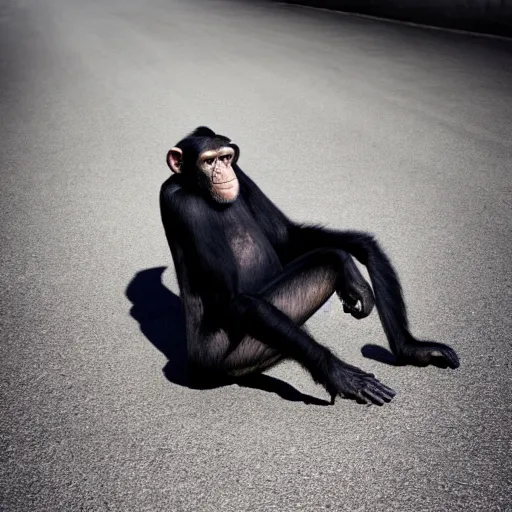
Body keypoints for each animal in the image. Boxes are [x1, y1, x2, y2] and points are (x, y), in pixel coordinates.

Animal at [159, 127, 460, 404]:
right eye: (208, 162)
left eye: (225, 157)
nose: (223, 173)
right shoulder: (182, 202)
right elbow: (233, 298)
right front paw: (339, 373)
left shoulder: (241, 175)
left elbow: (287, 237)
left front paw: (412, 348)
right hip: (224, 356)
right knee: (320, 267)